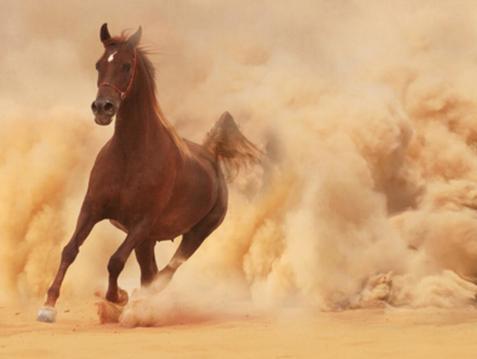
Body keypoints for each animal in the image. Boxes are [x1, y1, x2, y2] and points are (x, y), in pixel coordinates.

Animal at [37, 24, 260, 324]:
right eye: (99, 64)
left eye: (126, 65)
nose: (102, 108)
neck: (130, 154)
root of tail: (211, 154)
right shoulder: (92, 208)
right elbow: (70, 250)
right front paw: (48, 306)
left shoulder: (142, 222)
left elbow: (115, 260)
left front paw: (118, 297)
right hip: (148, 241)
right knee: (150, 272)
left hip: (195, 234)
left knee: (165, 274)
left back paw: (138, 305)